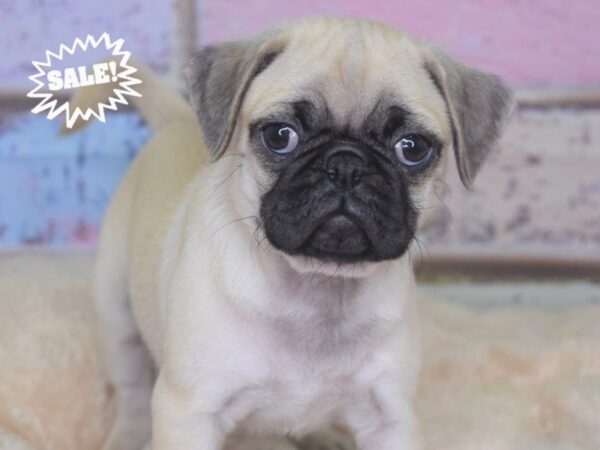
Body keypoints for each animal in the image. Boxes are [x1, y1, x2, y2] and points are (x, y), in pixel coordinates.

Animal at [90, 14, 516, 450]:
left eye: (412, 148)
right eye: (280, 136)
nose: (346, 165)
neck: (317, 291)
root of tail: (179, 120)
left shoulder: (390, 416)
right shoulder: (190, 411)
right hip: (116, 310)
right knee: (132, 391)